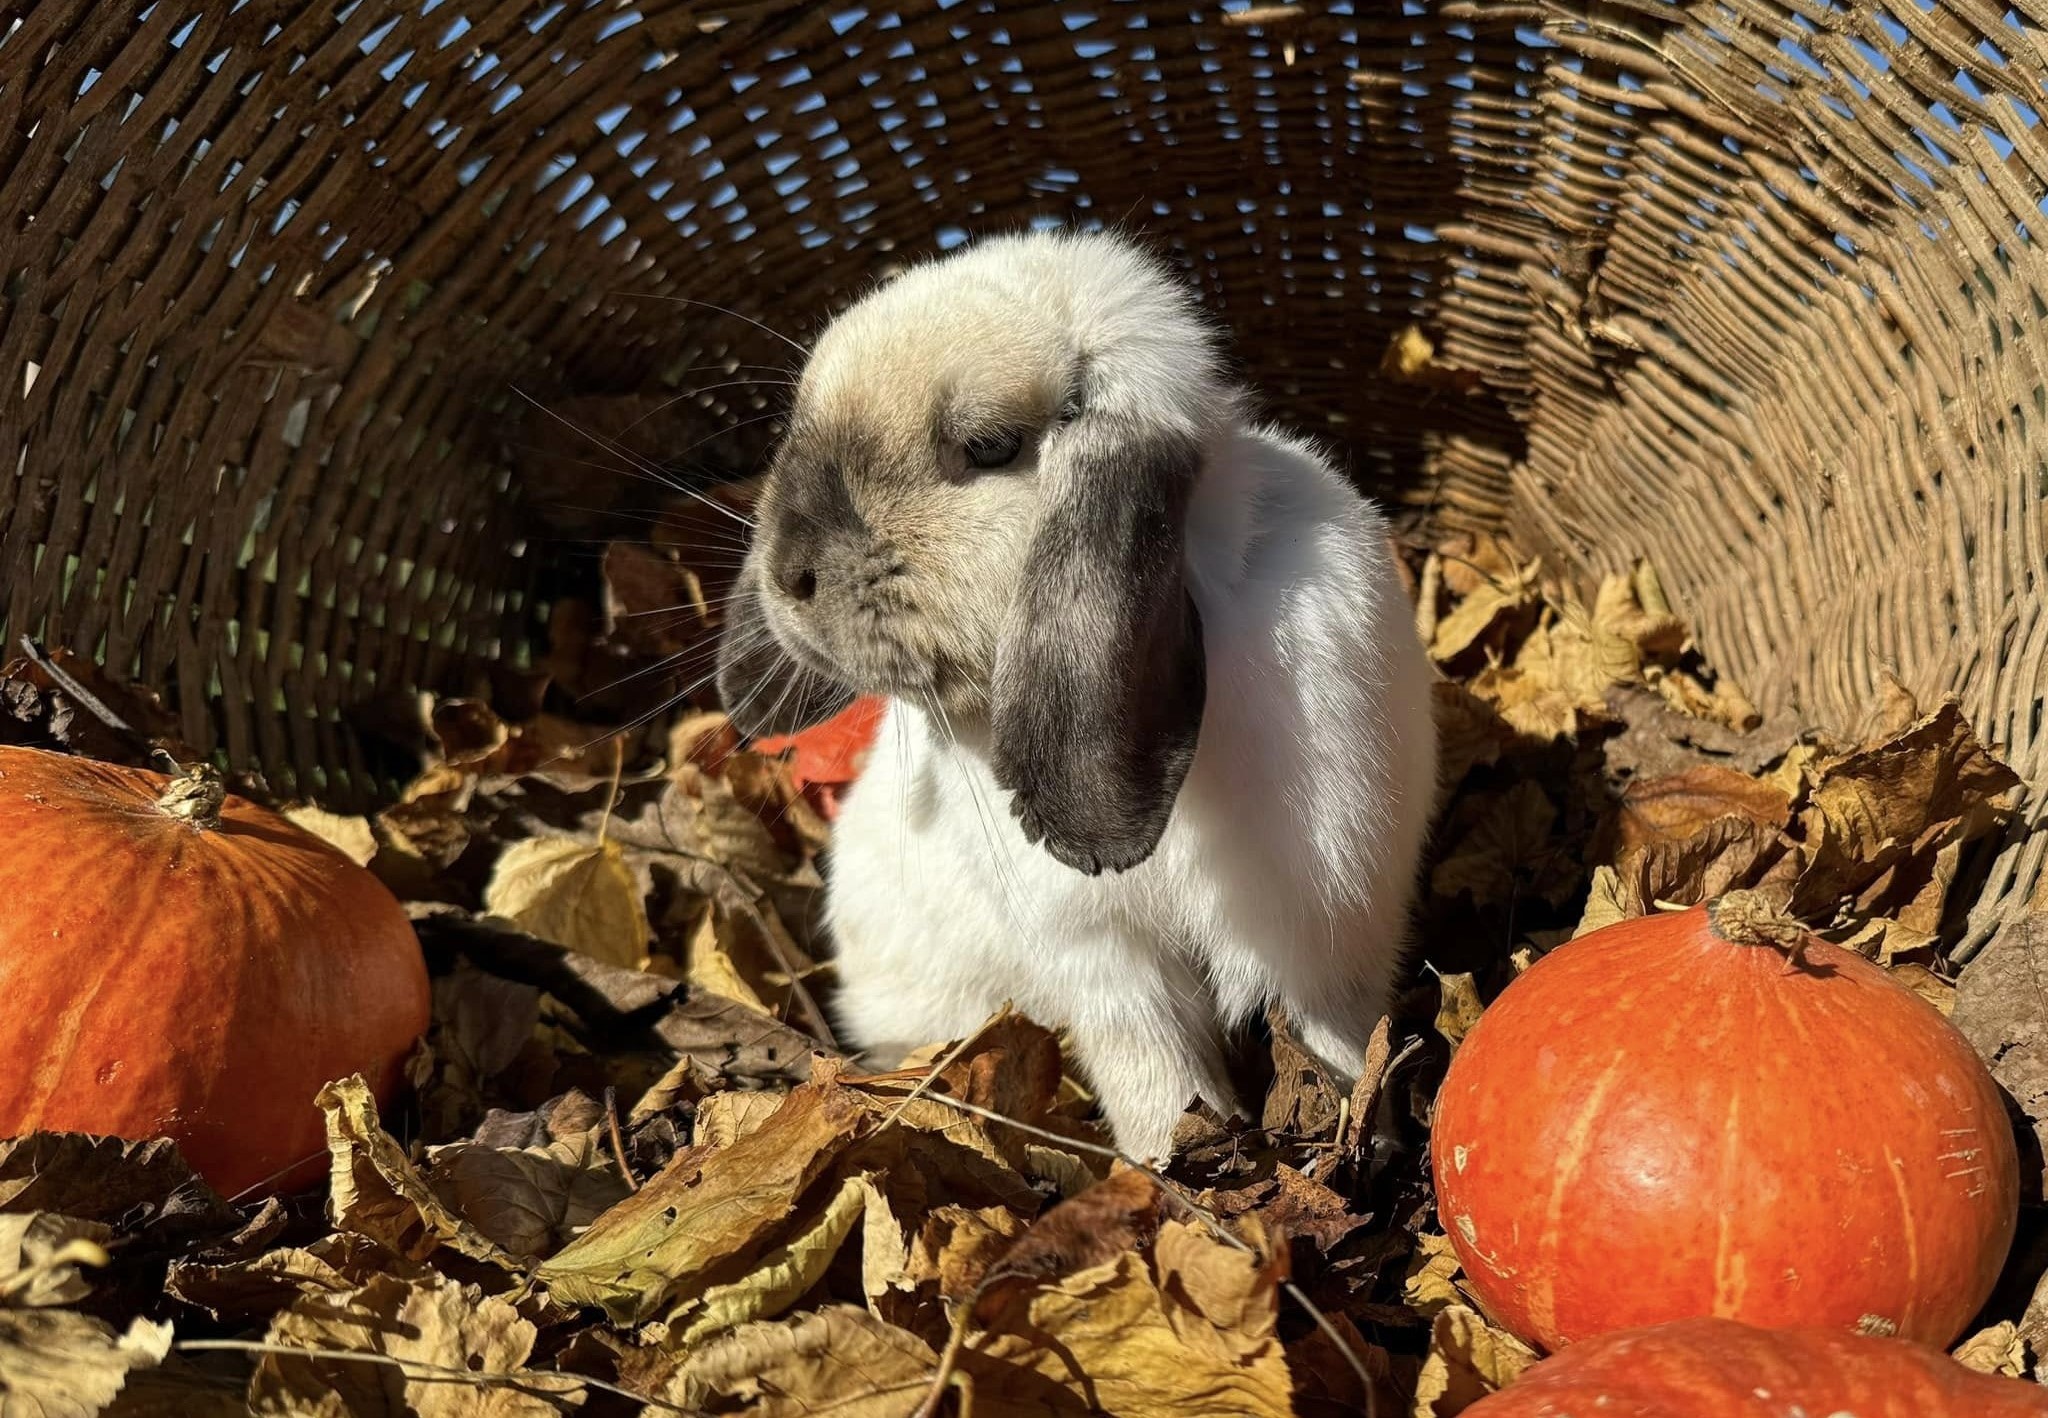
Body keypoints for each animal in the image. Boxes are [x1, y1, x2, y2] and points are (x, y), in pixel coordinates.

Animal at [714, 227, 1440, 1162]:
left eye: (989, 446)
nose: (786, 575)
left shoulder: (1321, 936)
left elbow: (1341, 1050)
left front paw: (1354, 1142)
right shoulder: (1107, 970)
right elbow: (1158, 1082)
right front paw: (1173, 1166)